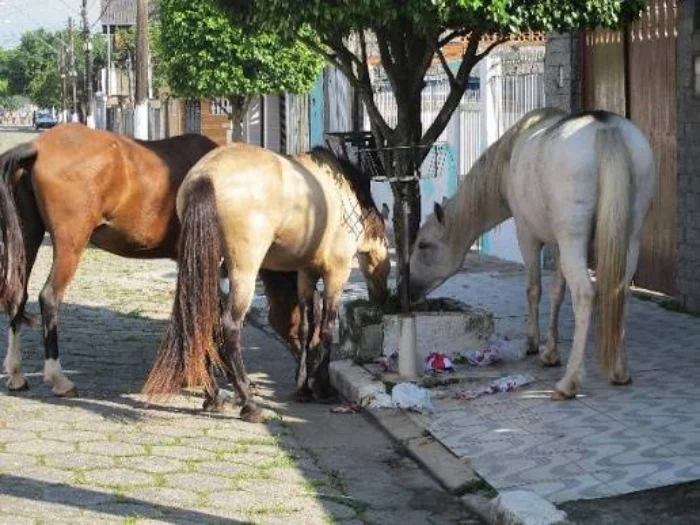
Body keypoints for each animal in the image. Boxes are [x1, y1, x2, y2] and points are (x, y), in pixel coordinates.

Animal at [0, 123, 219, 397]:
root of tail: (36, 147)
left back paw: (16, 374)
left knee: (18, 296)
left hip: (28, 236)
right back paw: (59, 379)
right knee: (49, 297)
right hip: (70, 244)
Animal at [143, 143, 391, 422]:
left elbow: (306, 327)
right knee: (229, 325)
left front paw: (304, 387)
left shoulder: (306, 273)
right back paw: (248, 403)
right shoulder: (336, 272)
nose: (382, 297)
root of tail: (205, 177)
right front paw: (322, 387)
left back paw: (214, 397)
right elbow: (326, 328)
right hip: (243, 272)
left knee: (203, 322)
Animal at [408, 108, 657, 400]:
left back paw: (569, 383)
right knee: (620, 291)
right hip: (628, 238)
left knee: (584, 294)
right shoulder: (560, 244)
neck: (509, 158)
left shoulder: (528, 235)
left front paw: (532, 343)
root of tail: (607, 128)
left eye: (423, 245)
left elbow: (534, 289)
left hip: (574, 239)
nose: (408, 290)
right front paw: (550, 352)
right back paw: (619, 371)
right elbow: (557, 291)